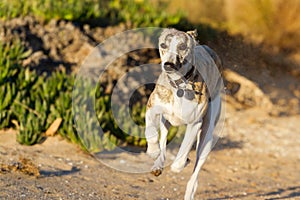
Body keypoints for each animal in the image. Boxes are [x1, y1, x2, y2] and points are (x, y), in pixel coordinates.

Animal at [145, 28, 223, 200]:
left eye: (182, 46)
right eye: (163, 45)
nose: (168, 65)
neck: (179, 85)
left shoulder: (195, 124)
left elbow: (179, 161)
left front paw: (181, 162)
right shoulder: (152, 107)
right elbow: (151, 134)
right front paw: (153, 152)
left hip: (206, 137)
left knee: (195, 172)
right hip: (165, 120)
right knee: (163, 139)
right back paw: (158, 163)